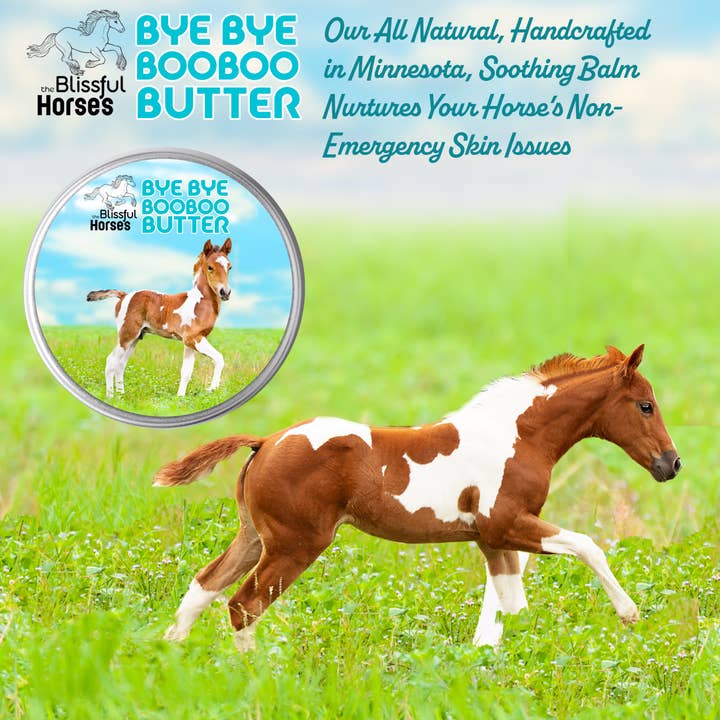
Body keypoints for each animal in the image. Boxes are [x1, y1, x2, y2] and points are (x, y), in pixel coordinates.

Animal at [86, 239, 232, 398]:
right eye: (210, 267)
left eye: (229, 267)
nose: (225, 292)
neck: (199, 302)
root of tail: (124, 295)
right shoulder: (193, 338)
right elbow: (219, 358)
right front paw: (212, 389)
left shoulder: (190, 342)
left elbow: (186, 372)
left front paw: (180, 398)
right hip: (126, 335)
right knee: (111, 361)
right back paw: (111, 396)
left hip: (136, 338)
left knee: (120, 364)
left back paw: (121, 395)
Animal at [153, 344, 681, 652]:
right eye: (645, 406)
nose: (671, 464)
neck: (517, 436)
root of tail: (266, 442)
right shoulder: (506, 524)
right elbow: (588, 546)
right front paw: (629, 613)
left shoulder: (492, 538)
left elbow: (507, 606)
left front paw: (486, 662)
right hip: (293, 546)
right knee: (243, 606)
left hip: (254, 538)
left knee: (204, 586)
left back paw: (171, 657)